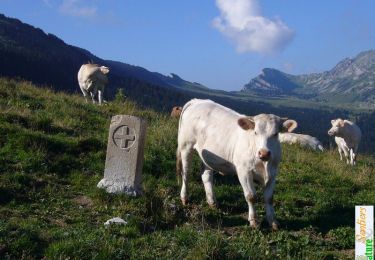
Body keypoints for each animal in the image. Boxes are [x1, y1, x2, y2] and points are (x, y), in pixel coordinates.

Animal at [178, 99, 298, 230]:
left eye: (276, 134)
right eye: (255, 132)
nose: (264, 153)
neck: (263, 164)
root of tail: (197, 101)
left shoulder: (273, 172)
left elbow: (269, 198)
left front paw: (273, 221)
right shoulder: (244, 171)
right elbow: (251, 196)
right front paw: (254, 221)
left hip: (207, 155)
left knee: (206, 176)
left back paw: (212, 202)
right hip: (186, 146)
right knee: (186, 173)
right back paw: (184, 198)